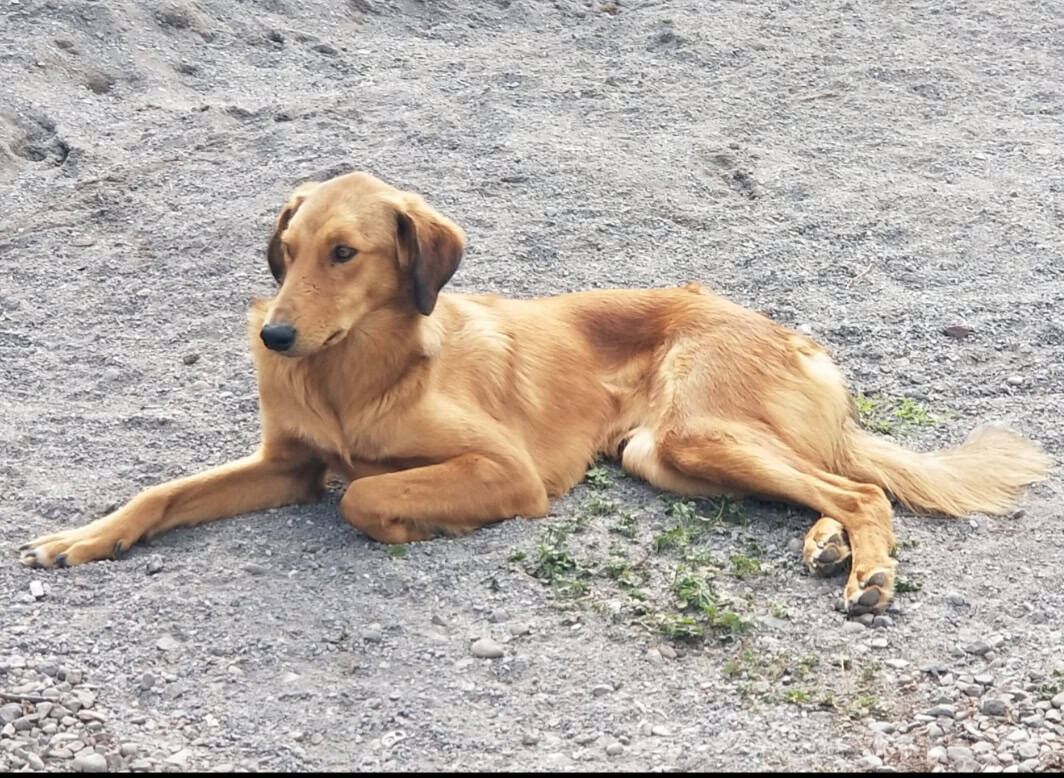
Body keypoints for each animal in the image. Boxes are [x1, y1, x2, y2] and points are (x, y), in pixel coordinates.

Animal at [20, 169, 1051, 613]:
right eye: (289, 249)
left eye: (345, 253)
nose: (274, 334)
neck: (354, 370)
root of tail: (780, 327)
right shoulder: (285, 464)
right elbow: (164, 491)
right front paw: (83, 538)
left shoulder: (504, 470)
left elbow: (361, 495)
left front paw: (409, 519)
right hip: (665, 456)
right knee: (833, 483)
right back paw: (828, 543)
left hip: (692, 435)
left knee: (863, 486)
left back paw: (868, 569)